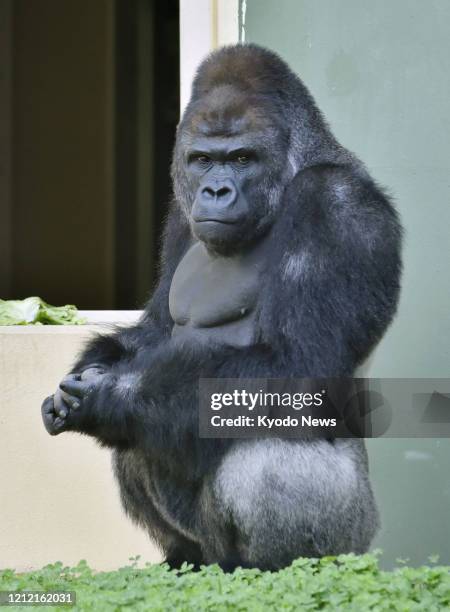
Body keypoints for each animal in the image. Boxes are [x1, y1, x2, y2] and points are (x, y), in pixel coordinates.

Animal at [41, 44, 400, 572]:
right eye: (203, 160)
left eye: (243, 158)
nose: (215, 191)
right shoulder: (179, 212)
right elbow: (155, 333)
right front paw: (94, 365)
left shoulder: (337, 206)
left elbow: (298, 365)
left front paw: (111, 395)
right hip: (209, 547)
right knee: (139, 440)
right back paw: (183, 557)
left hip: (356, 535)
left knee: (264, 446)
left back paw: (279, 569)